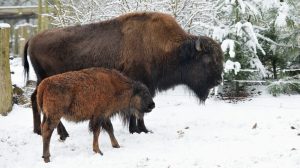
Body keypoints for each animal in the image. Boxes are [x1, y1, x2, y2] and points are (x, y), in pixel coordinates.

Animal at [24, 11, 223, 138]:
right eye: (208, 60)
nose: (218, 80)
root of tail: (32, 38)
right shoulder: (140, 85)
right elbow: (138, 111)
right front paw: (139, 130)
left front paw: (140, 130)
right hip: (50, 82)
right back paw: (61, 133)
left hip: (43, 81)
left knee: (35, 99)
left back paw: (39, 131)